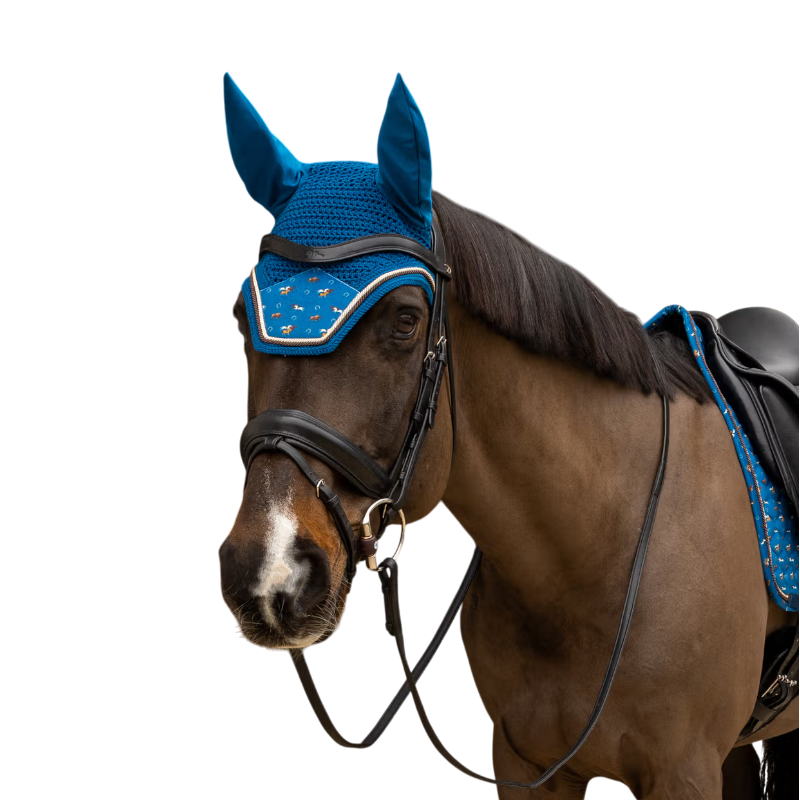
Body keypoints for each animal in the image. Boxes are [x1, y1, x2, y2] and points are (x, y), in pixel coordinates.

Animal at [219, 72, 798, 798]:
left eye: (405, 320)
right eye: (241, 319)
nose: (267, 570)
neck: (599, 546)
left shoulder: (683, 772)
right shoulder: (526, 767)